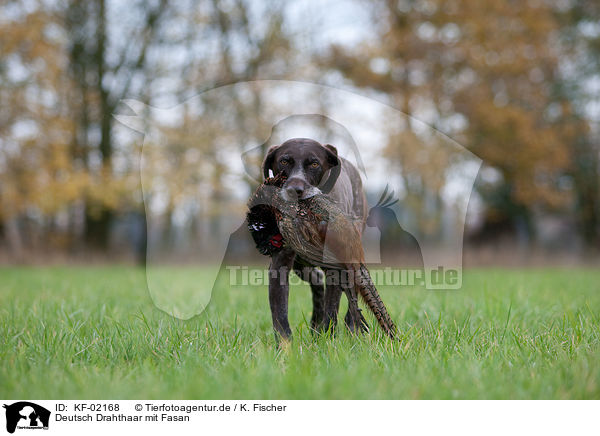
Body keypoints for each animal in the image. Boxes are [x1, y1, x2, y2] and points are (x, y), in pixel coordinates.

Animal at [260, 138, 368, 338]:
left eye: (314, 164)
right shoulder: (280, 263)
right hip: (301, 266)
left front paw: (328, 339)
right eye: (284, 161)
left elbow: (332, 310)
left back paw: (352, 327)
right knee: (317, 281)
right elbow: (280, 314)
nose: (295, 189)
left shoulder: (336, 268)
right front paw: (286, 345)